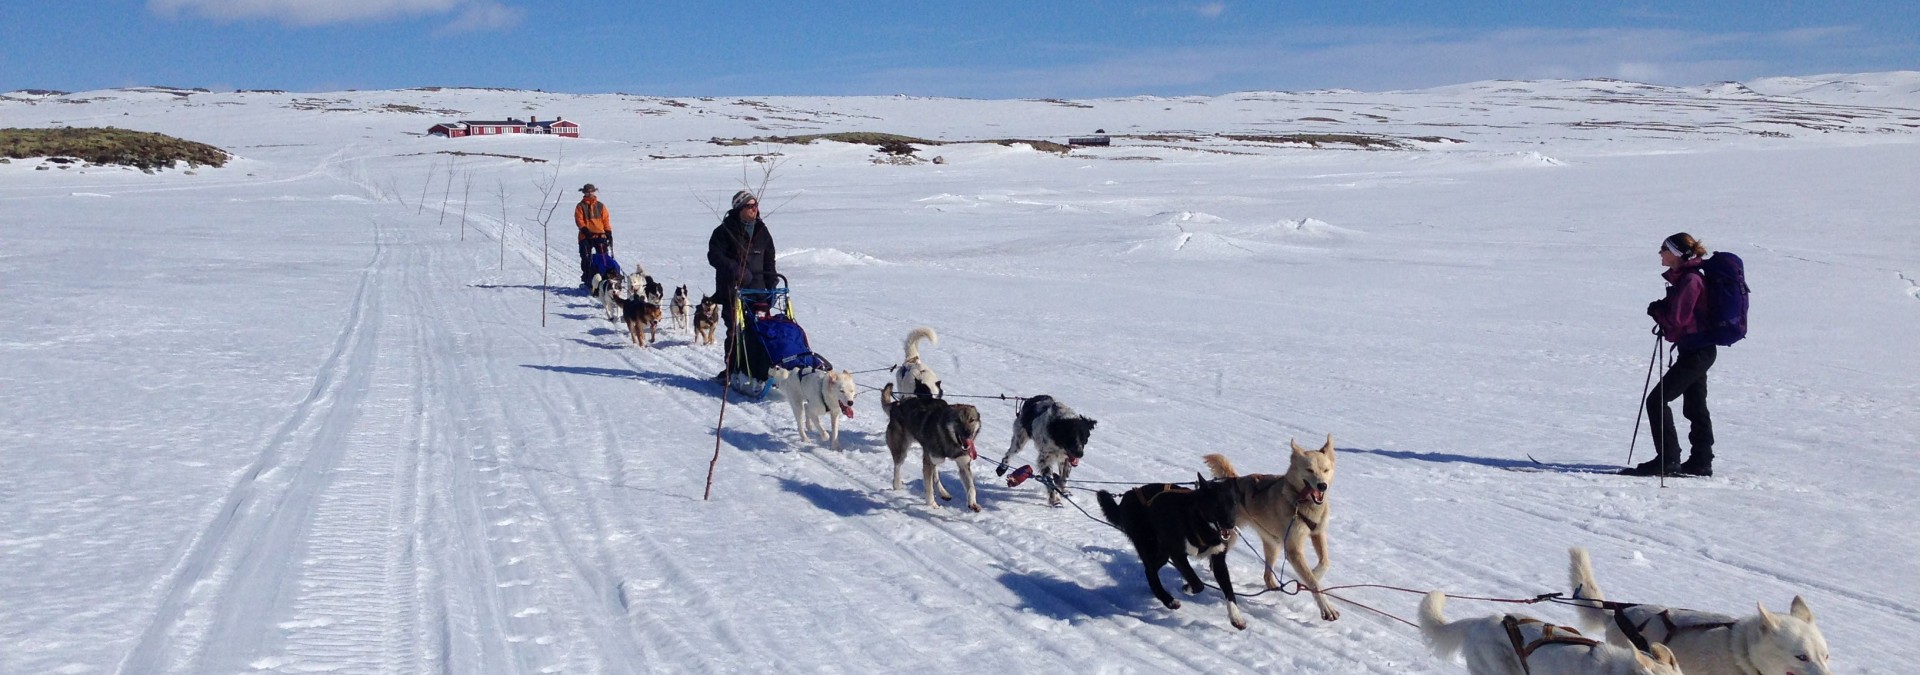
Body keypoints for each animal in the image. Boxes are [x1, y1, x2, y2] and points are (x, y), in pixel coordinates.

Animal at [879, 381, 983, 510]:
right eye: (958, 420)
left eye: (972, 420)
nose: (968, 433)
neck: (949, 439)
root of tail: (896, 404)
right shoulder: (928, 462)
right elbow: (929, 487)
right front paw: (932, 505)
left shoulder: (963, 464)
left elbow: (971, 487)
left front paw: (972, 503)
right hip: (902, 451)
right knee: (897, 467)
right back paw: (897, 485)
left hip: (932, 457)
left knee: (935, 473)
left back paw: (943, 492)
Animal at [1105, 477, 1251, 628]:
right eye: (1218, 504)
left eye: (1234, 503)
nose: (1231, 524)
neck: (1201, 522)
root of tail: (1128, 495)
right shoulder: (1178, 555)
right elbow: (1198, 583)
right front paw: (1187, 588)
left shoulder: (1218, 560)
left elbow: (1229, 591)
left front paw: (1236, 617)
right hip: (1149, 544)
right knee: (1150, 572)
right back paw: (1169, 601)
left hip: (1163, 552)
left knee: (1150, 569)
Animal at [1205, 435, 1344, 621]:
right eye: (1309, 470)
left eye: (1326, 470)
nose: (1322, 485)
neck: (1301, 502)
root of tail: (1236, 480)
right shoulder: (1293, 550)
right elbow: (1313, 582)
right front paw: (1326, 607)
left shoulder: (1317, 533)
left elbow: (1324, 563)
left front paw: (1314, 574)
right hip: (1232, 537)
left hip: (1274, 545)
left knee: (1266, 574)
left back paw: (1273, 586)